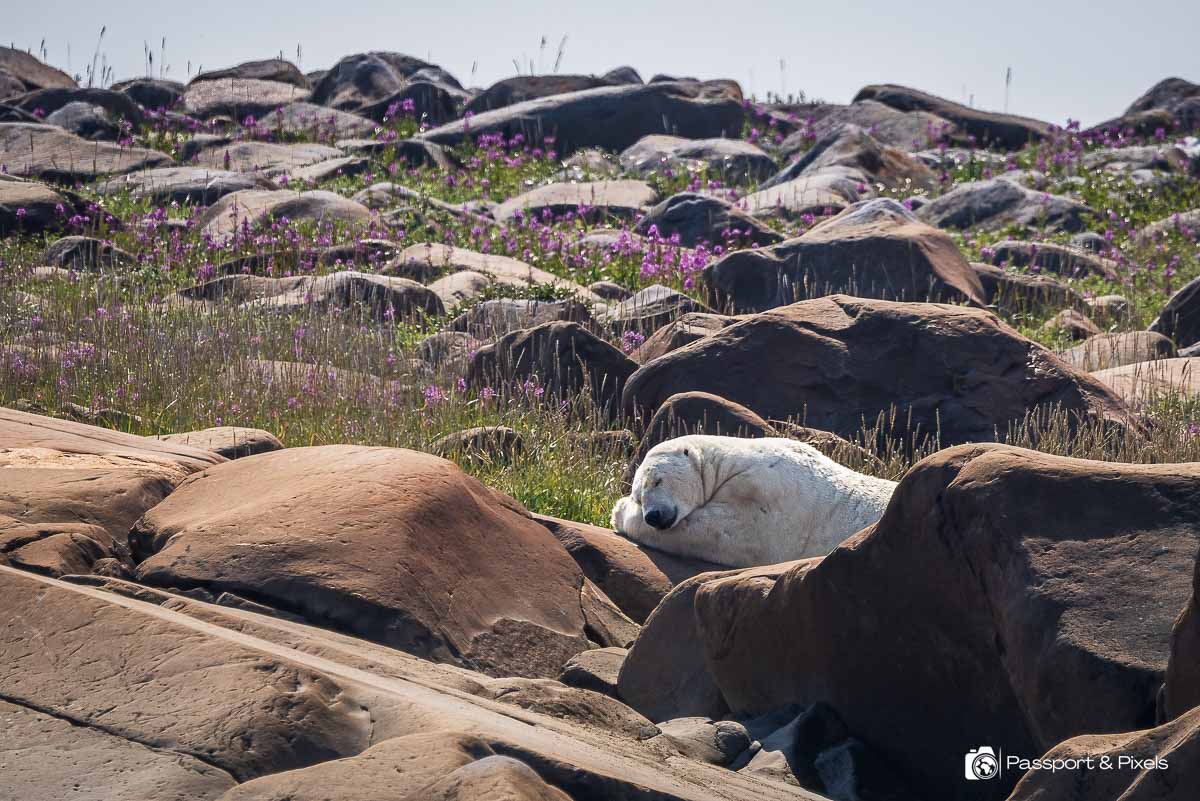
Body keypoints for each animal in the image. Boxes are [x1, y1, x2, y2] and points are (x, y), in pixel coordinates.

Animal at [611, 434, 897, 567]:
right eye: (639, 495)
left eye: (657, 481)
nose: (653, 516)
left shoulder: (767, 494)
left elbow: (721, 531)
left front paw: (619, 511)